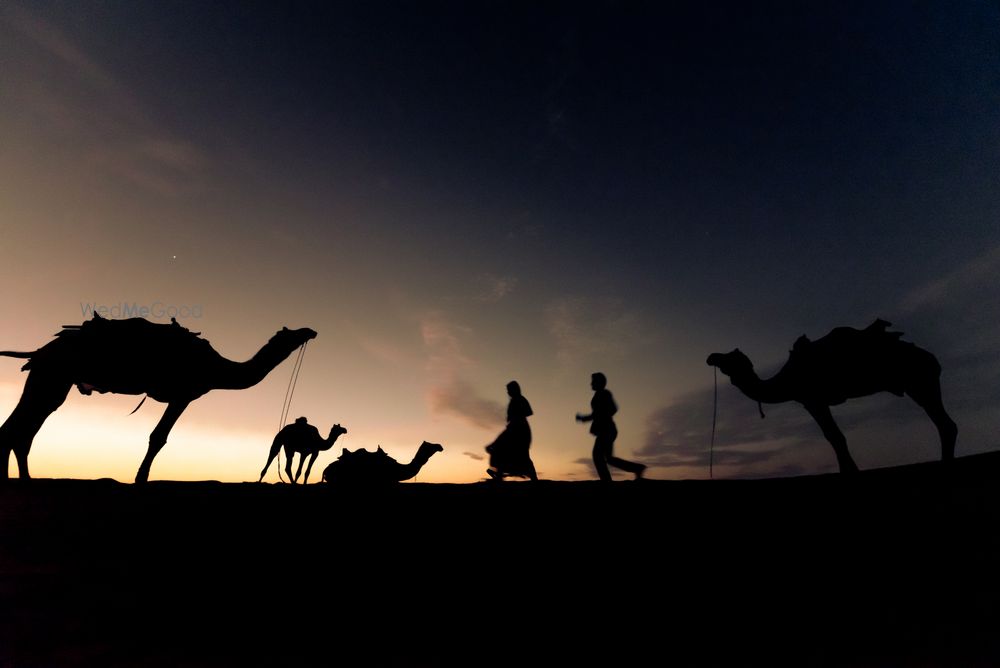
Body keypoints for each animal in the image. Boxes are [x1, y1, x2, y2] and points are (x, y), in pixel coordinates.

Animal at [0, 314, 316, 480]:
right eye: (291, 333)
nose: (310, 330)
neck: (217, 367)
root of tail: (38, 352)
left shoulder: (183, 396)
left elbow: (157, 438)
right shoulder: (184, 395)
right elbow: (158, 438)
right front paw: (140, 480)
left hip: (51, 382)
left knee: (22, 429)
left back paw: (26, 480)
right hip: (51, 377)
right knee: (18, 429)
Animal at [708, 320, 956, 472]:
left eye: (730, 358)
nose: (711, 357)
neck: (786, 380)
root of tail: (932, 358)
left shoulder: (813, 400)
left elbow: (835, 437)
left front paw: (850, 471)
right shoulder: (813, 402)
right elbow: (835, 437)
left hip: (921, 382)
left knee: (945, 424)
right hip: (919, 385)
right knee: (943, 422)